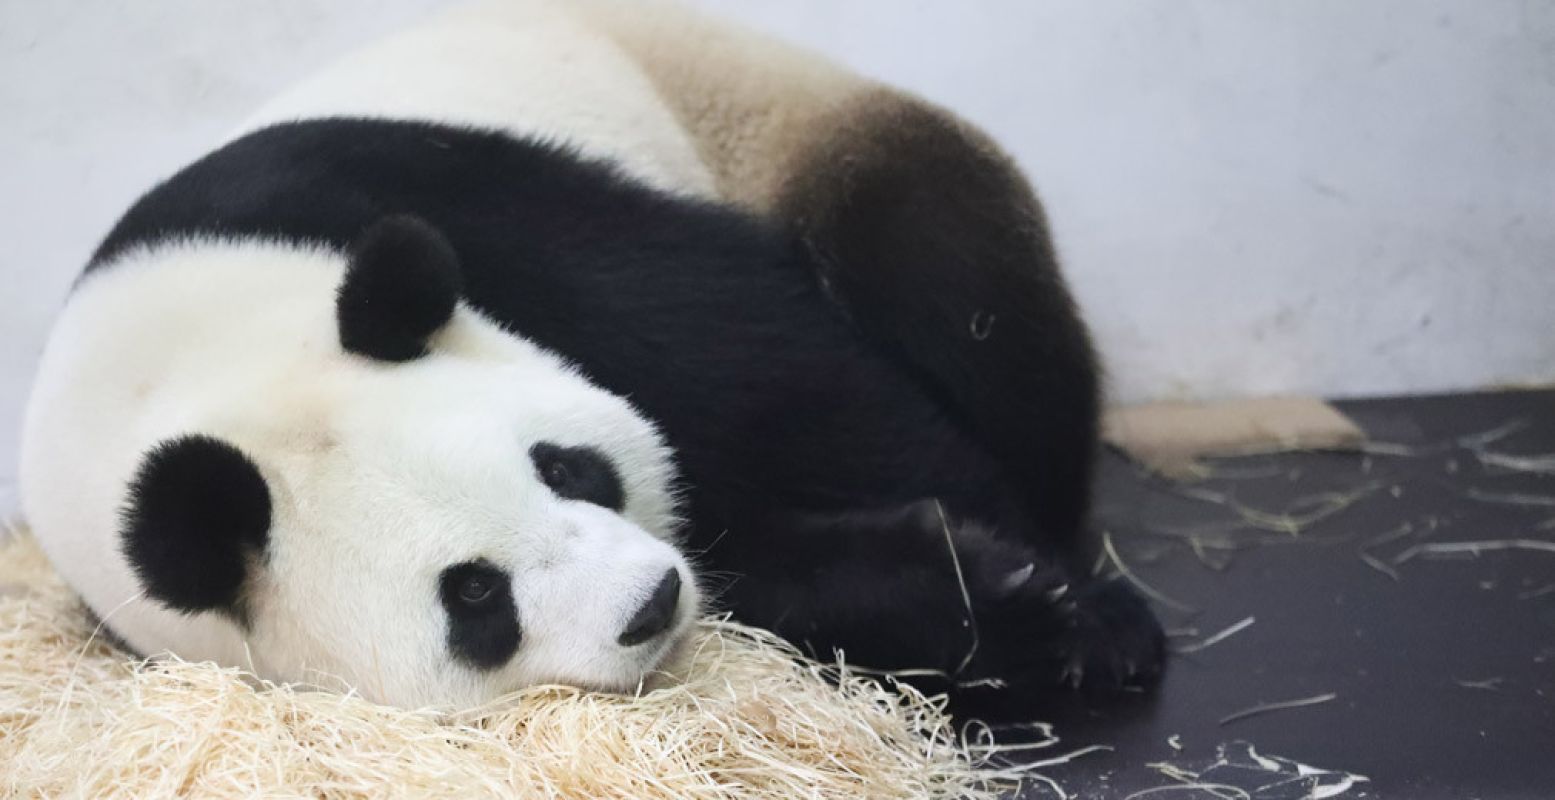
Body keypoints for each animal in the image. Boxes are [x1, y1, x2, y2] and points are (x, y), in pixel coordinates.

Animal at [18, 0, 1163, 709]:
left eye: (566, 467)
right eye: (474, 597)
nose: (649, 599)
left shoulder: (434, 205)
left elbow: (772, 379)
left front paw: (1065, 606)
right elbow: (753, 560)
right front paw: (989, 596)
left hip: (787, 124)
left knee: (958, 290)